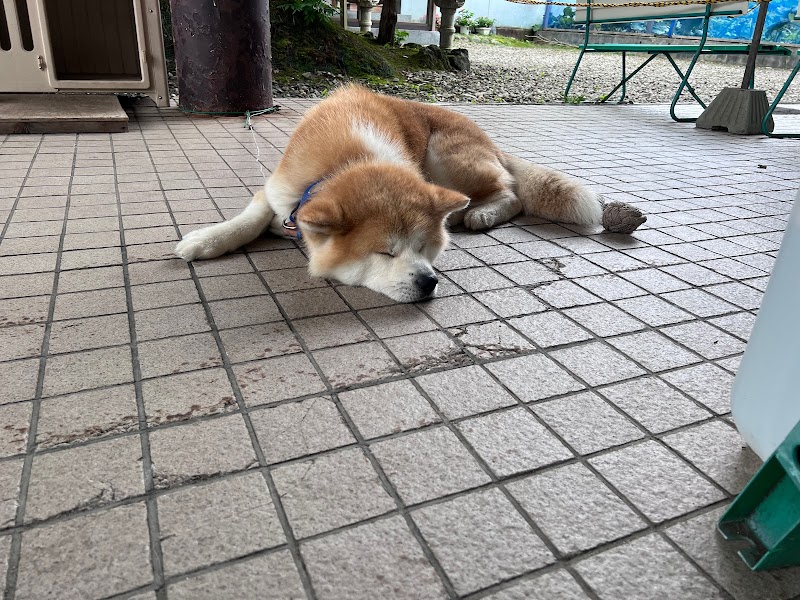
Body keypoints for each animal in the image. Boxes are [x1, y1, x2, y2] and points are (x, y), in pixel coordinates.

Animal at [177, 85, 644, 300]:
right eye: (385, 252)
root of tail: (489, 139)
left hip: (445, 155)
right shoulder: (279, 189)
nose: (429, 282)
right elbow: (249, 218)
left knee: (511, 192)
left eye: (424, 249)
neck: (350, 160)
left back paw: (480, 213)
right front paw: (207, 240)